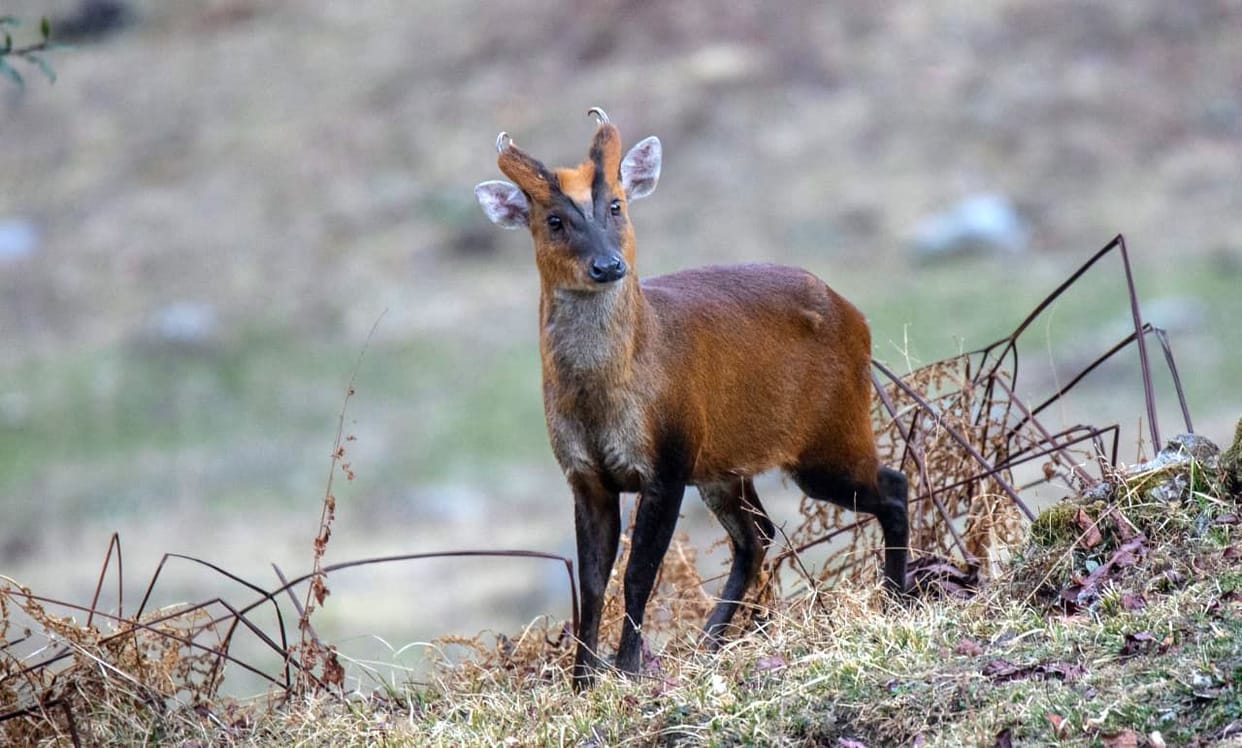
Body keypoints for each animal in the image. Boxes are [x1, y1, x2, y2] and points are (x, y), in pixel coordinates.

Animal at [474, 108, 909, 689]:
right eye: (554, 220)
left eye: (616, 204)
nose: (608, 266)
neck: (609, 401)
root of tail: (858, 321)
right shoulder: (584, 475)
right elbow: (593, 581)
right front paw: (583, 681)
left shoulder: (669, 459)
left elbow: (639, 573)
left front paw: (628, 671)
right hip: (725, 467)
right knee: (757, 535)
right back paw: (710, 644)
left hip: (827, 433)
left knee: (892, 485)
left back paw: (897, 600)